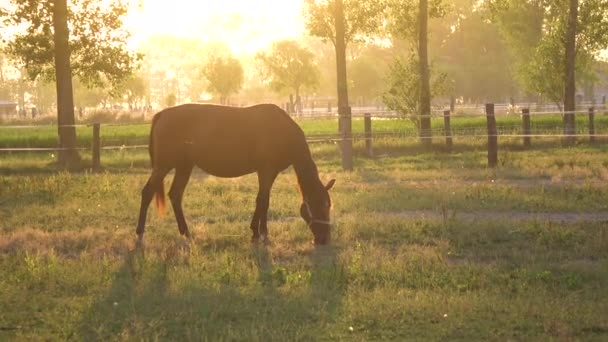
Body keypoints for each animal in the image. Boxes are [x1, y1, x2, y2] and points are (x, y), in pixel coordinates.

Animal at [135, 104, 334, 246]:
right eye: (321, 205)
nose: (324, 238)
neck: (282, 131)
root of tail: (162, 114)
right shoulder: (266, 171)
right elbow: (262, 201)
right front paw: (257, 233)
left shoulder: (269, 172)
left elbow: (264, 201)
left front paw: (261, 232)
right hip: (164, 166)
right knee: (147, 192)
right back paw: (140, 233)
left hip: (184, 167)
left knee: (175, 195)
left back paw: (186, 232)